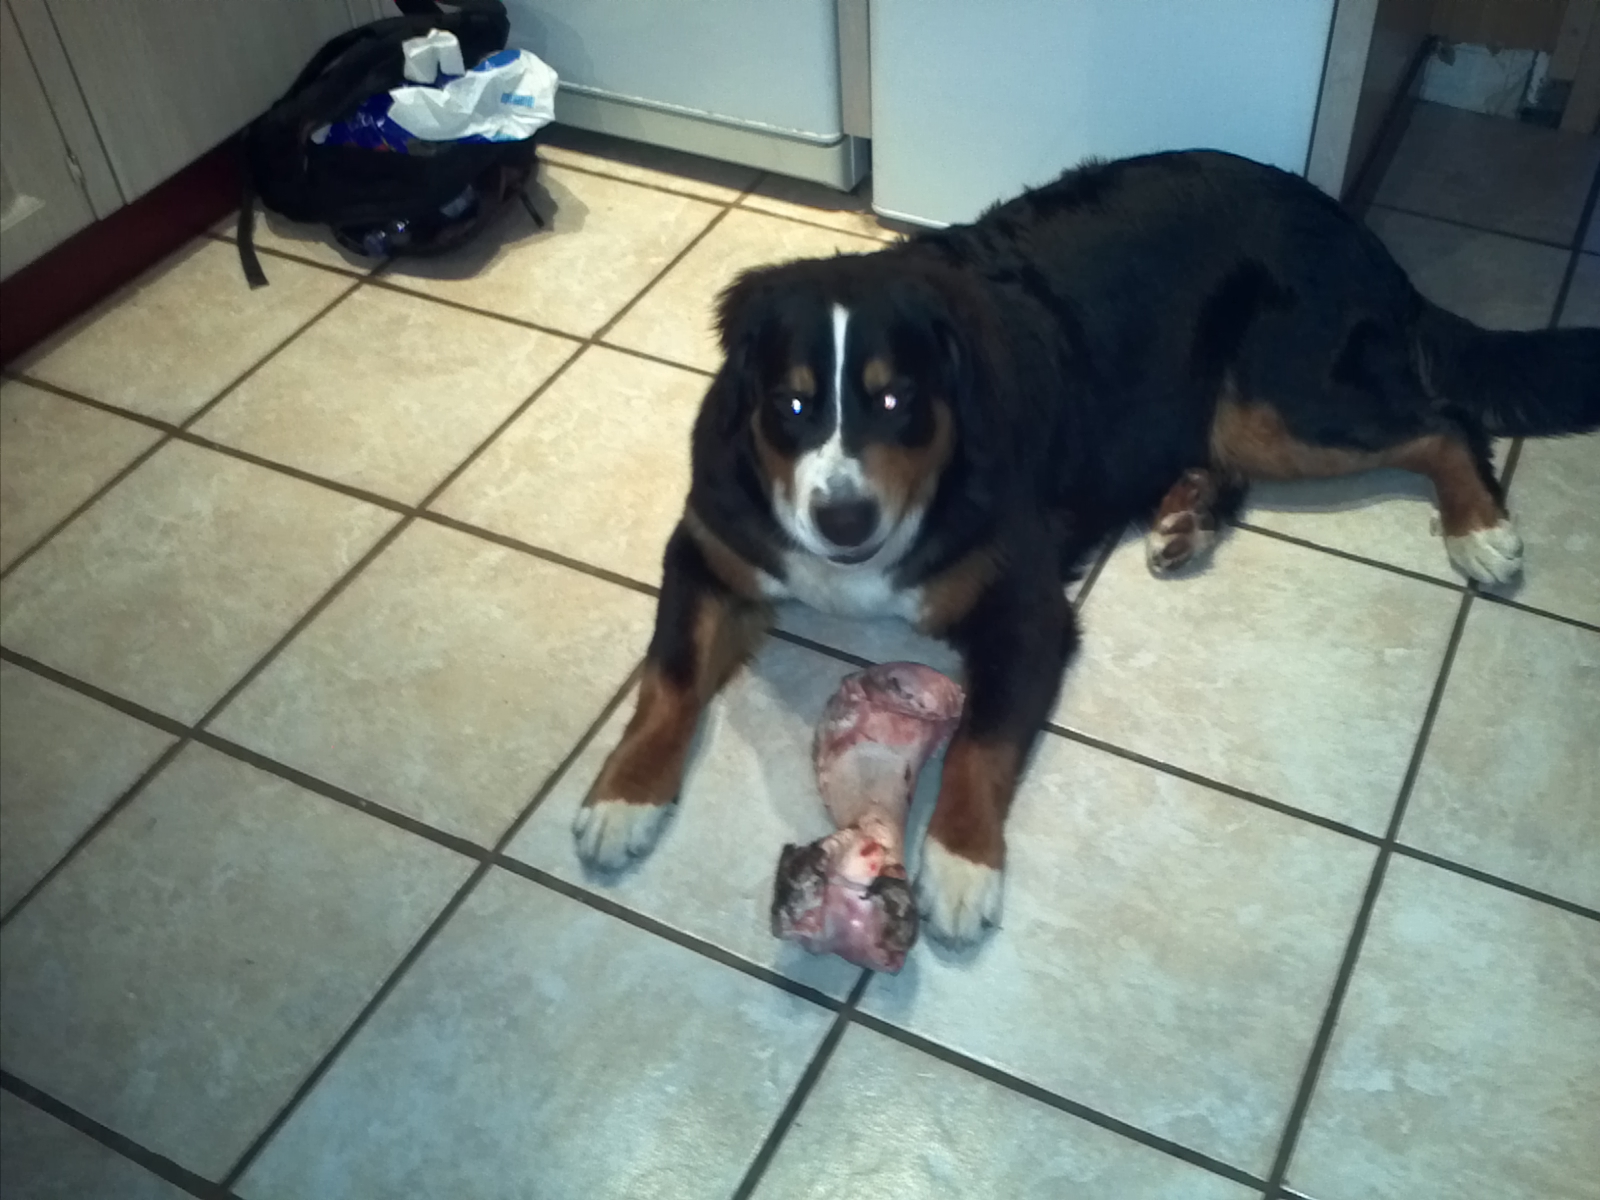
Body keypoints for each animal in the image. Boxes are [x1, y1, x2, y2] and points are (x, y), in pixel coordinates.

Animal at [572, 149, 1600, 945]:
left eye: (896, 400)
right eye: (790, 407)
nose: (843, 522)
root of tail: (1351, 225)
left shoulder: (1026, 610)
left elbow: (983, 741)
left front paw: (961, 866)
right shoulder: (707, 549)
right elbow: (668, 678)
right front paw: (624, 797)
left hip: (1281, 396)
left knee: (1442, 421)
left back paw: (1481, 532)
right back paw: (1186, 517)